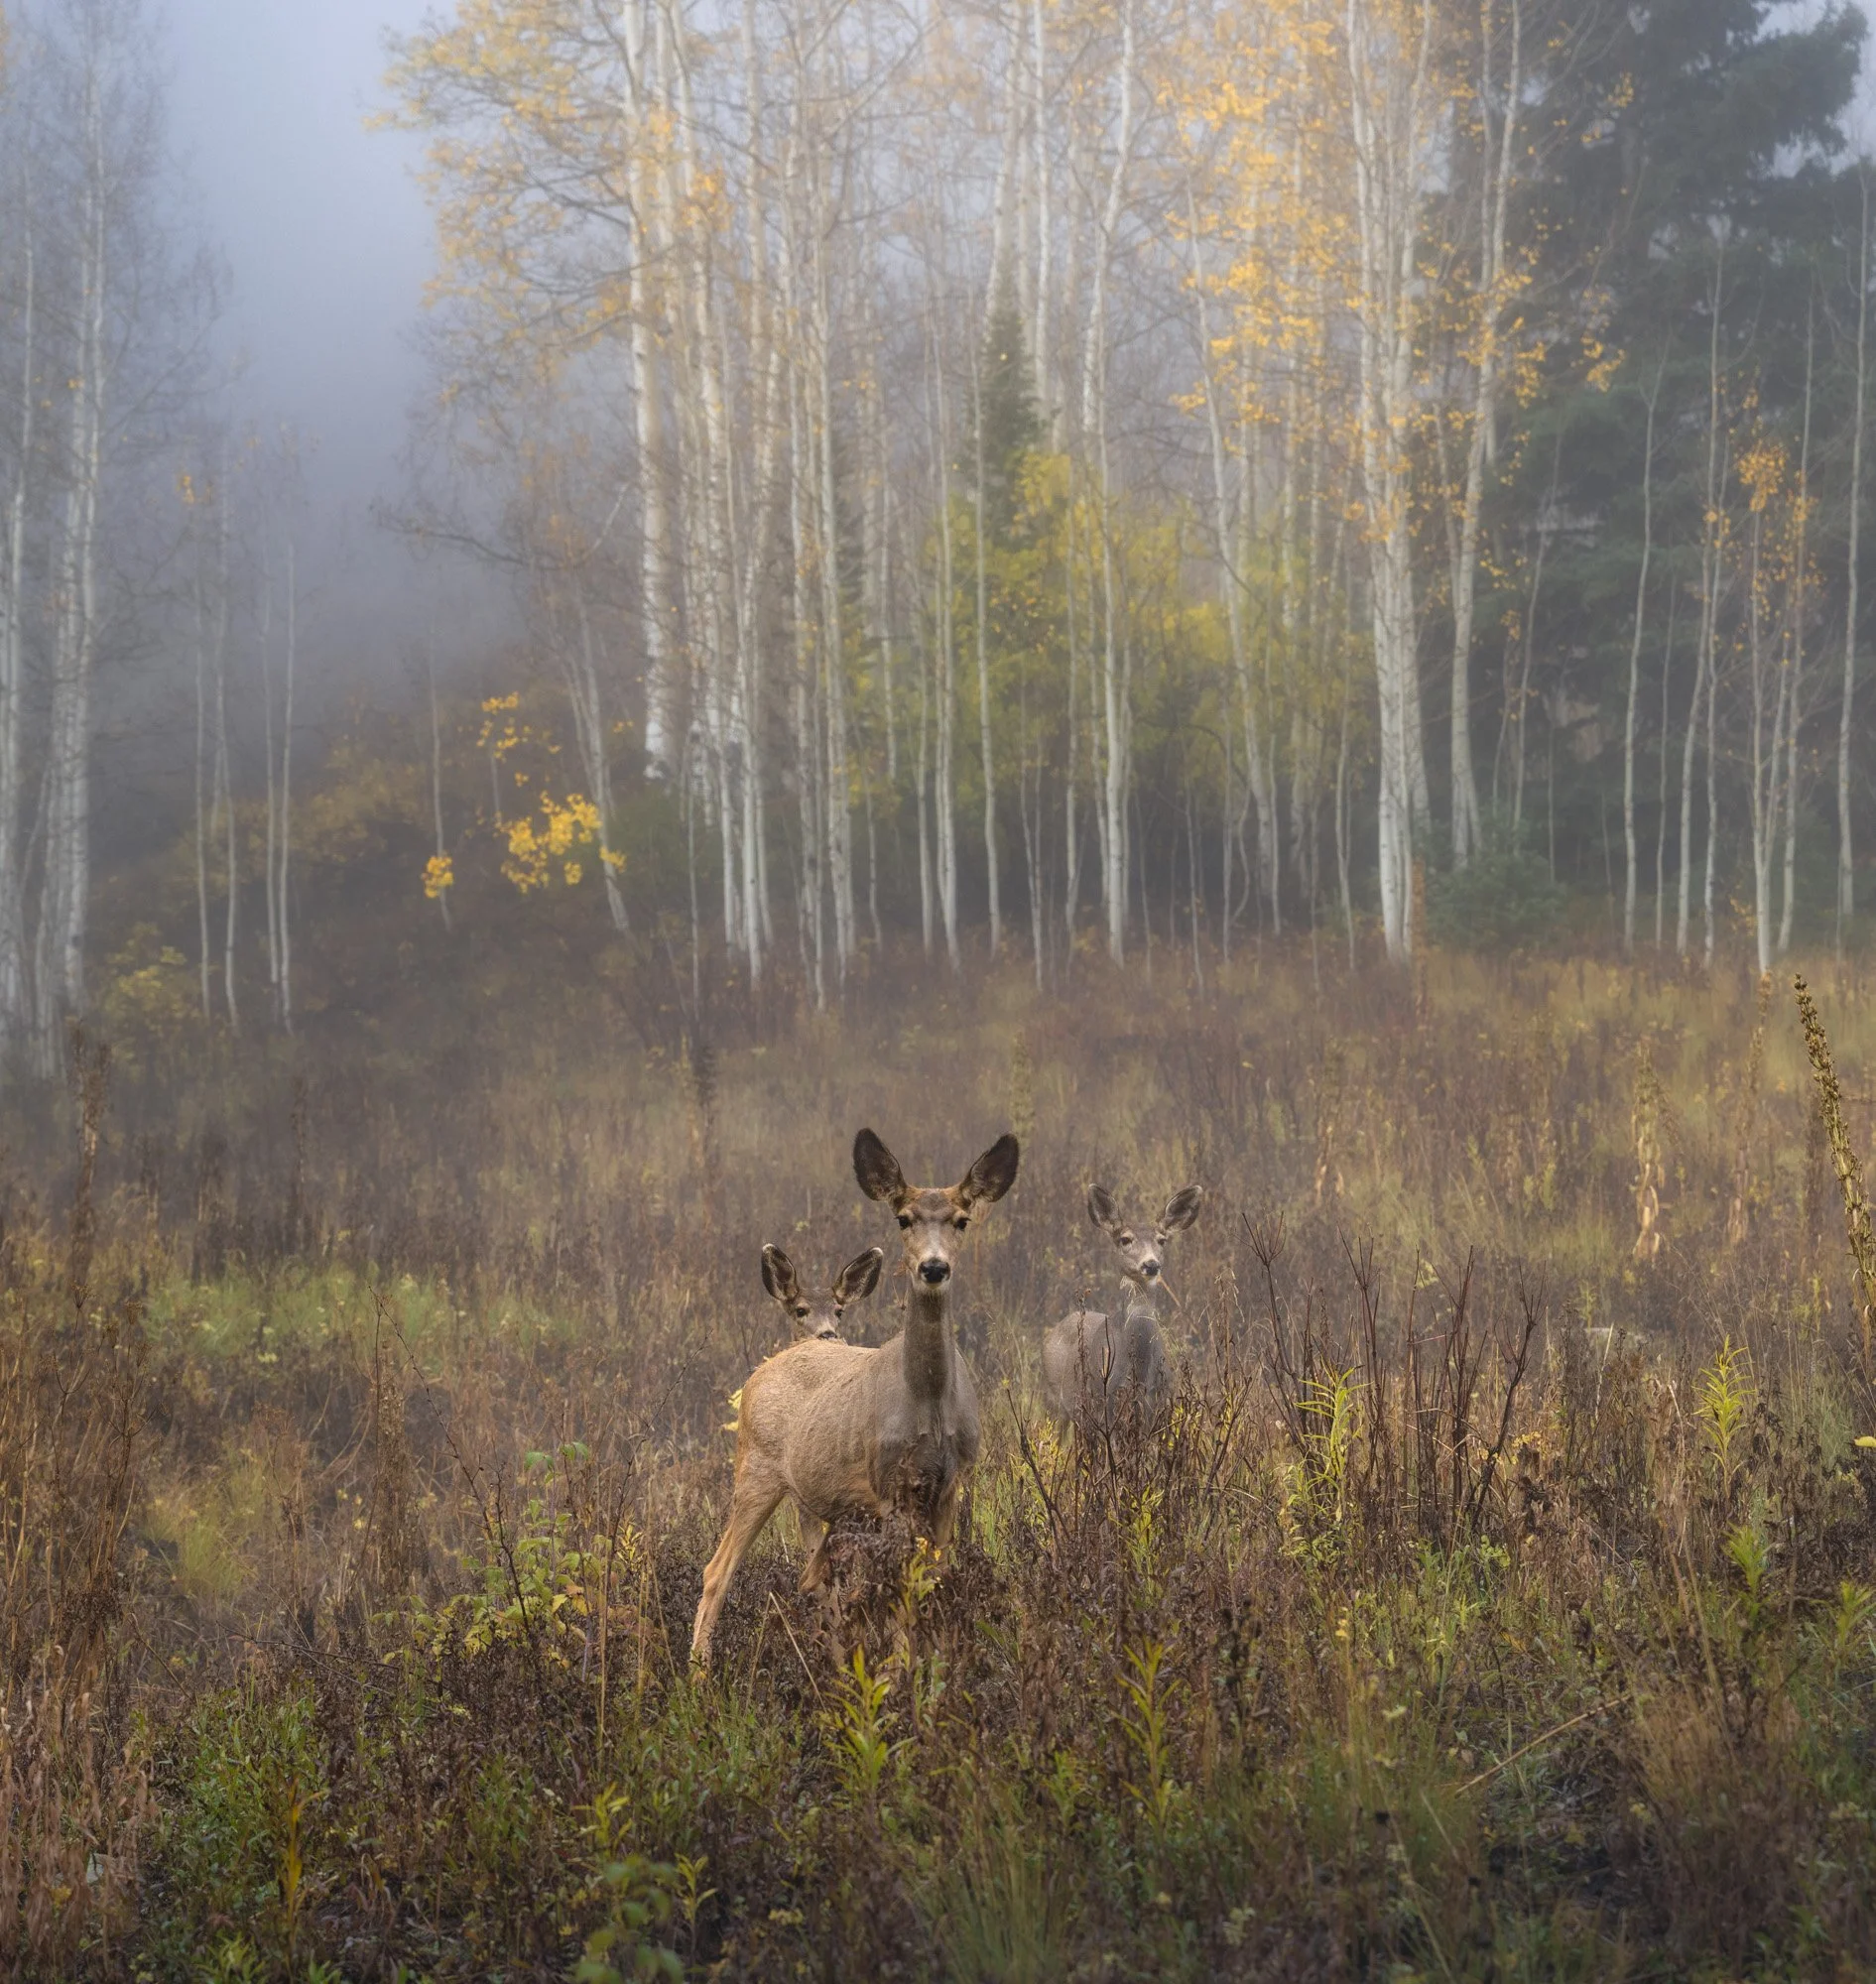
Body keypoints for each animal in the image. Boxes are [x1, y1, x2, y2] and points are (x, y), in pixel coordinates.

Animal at [690, 1126, 1020, 1668]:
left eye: (962, 1220)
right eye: (903, 1218)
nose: (933, 1268)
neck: (928, 1406)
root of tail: (761, 1371)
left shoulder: (951, 1484)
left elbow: (931, 1583)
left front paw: (933, 1668)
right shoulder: (887, 1487)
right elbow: (900, 1591)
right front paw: (903, 1671)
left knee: (813, 1581)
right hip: (756, 1468)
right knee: (718, 1571)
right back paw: (699, 1674)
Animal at [1042, 1183, 1203, 1426]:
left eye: (1162, 1240)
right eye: (1125, 1239)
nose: (1151, 1264)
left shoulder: (1160, 1402)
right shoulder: (1105, 1401)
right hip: (1056, 1402)